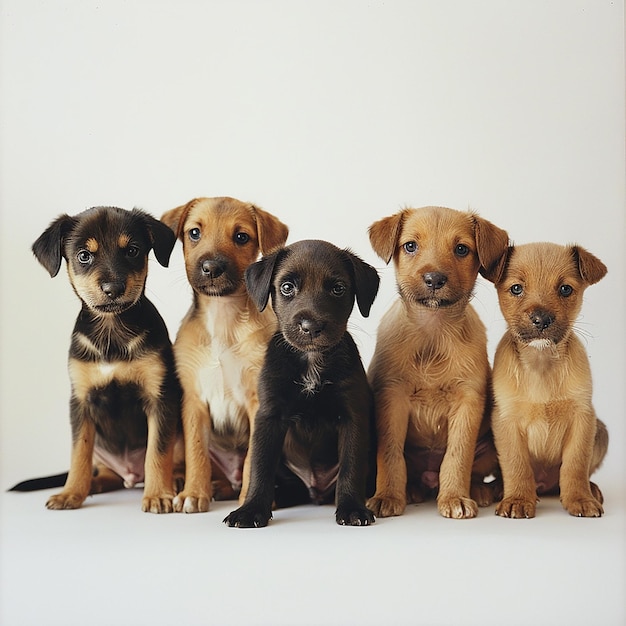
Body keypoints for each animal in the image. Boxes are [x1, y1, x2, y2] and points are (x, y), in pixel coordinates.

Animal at [27, 207, 183, 510]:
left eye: (132, 250)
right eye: (83, 256)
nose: (113, 289)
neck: (111, 332)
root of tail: (130, 475)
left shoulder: (159, 397)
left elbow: (158, 452)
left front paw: (159, 495)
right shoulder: (81, 401)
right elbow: (79, 453)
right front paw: (70, 493)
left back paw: (178, 481)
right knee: (104, 472)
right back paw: (93, 485)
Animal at [161, 196, 288, 512]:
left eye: (241, 237)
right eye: (194, 233)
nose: (211, 267)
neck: (222, 321)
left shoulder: (257, 402)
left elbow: (254, 459)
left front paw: (249, 500)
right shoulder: (193, 401)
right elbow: (197, 453)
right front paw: (194, 493)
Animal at [224, 239, 380, 528]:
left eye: (338, 288)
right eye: (287, 287)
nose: (311, 326)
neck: (311, 361)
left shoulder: (353, 416)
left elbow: (351, 466)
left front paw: (352, 508)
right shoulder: (269, 416)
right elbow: (260, 465)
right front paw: (252, 509)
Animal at [366, 205, 508, 516]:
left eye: (461, 249)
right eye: (410, 246)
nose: (434, 280)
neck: (433, 334)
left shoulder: (467, 401)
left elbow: (457, 456)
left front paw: (454, 497)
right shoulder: (392, 397)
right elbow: (390, 455)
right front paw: (387, 496)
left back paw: (478, 490)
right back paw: (411, 491)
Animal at [482, 240, 604, 516]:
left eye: (565, 289)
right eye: (516, 288)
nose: (541, 319)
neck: (541, 363)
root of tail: (544, 485)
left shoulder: (582, 417)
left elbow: (575, 465)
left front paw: (580, 498)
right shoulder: (506, 420)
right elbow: (516, 464)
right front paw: (517, 498)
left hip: (600, 431)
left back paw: (591, 489)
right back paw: (497, 489)